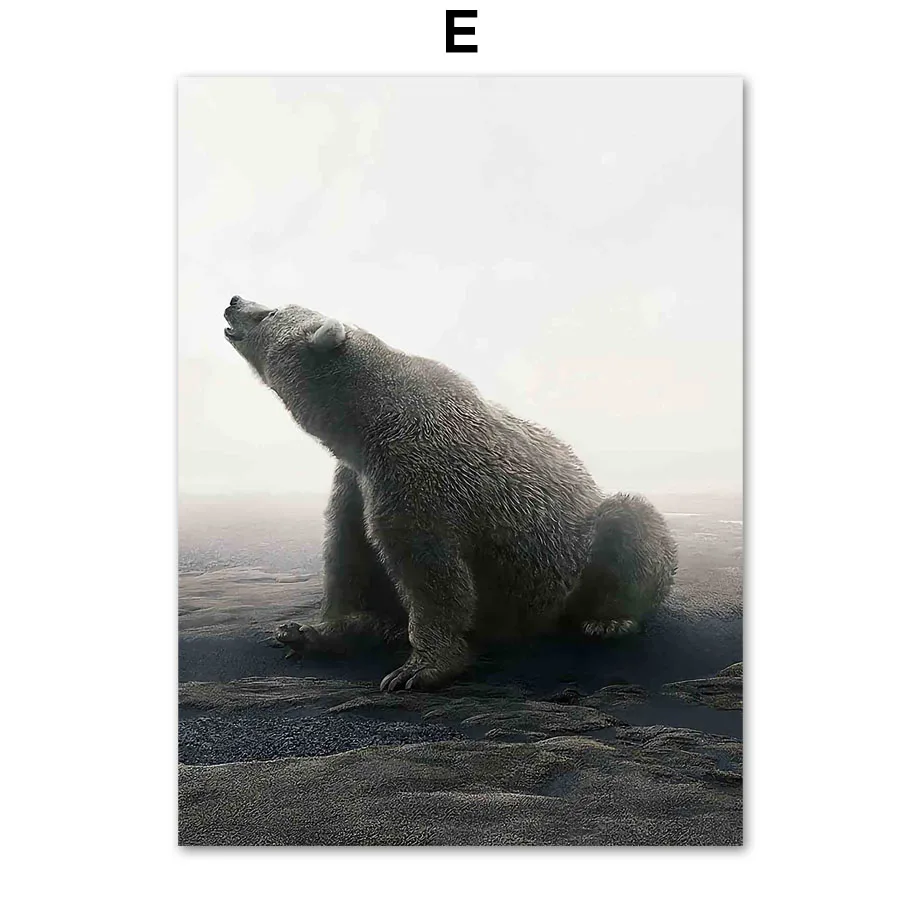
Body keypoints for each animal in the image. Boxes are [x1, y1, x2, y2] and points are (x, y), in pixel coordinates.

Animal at [223, 295, 678, 691]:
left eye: (272, 311)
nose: (234, 300)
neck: (369, 419)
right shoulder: (354, 481)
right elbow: (349, 553)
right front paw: (311, 631)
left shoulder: (419, 471)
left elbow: (430, 570)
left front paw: (416, 669)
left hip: (577, 552)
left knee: (629, 522)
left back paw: (610, 619)